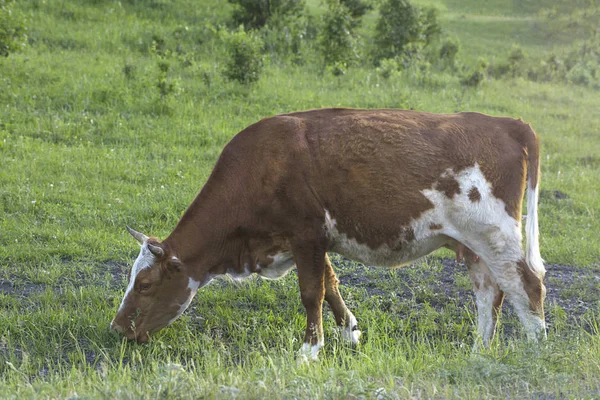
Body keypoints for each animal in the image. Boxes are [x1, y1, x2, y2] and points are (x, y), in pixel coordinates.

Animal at [110, 108, 548, 358]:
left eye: (145, 284)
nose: (116, 328)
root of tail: (508, 124)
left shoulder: (306, 236)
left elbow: (311, 292)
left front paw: (310, 348)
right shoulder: (316, 241)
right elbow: (331, 284)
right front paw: (349, 333)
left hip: (495, 235)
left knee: (527, 284)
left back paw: (535, 349)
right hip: (474, 246)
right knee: (490, 293)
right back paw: (479, 350)